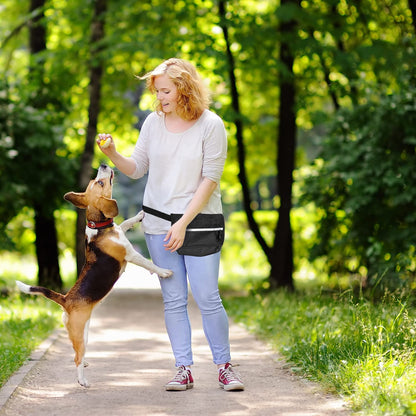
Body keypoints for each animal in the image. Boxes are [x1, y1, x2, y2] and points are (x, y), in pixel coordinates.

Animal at [16, 163, 172, 386]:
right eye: (99, 182)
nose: (104, 165)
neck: (98, 226)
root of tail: (65, 299)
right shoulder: (131, 254)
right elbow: (148, 263)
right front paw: (164, 271)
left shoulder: (121, 232)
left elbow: (125, 223)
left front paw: (139, 215)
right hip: (79, 331)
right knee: (76, 357)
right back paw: (82, 380)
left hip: (84, 332)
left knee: (77, 352)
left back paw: (86, 363)